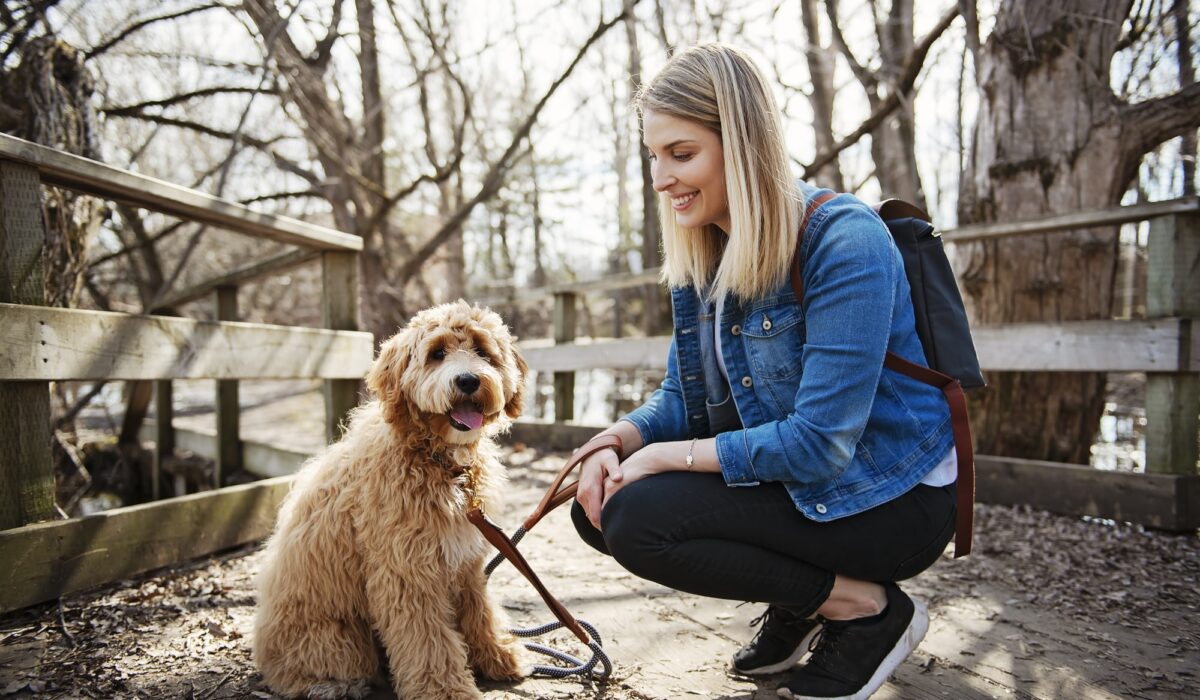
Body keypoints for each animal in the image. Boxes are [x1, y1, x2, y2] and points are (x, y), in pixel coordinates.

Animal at [255, 302, 528, 700]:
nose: (468, 381)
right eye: (437, 354)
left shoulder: (466, 563)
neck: (440, 463)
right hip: (338, 640)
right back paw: (331, 685)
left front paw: (498, 654)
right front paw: (444, 689)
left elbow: (480, 612)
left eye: (481, 351)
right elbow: (428, 638)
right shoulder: (406, 571)